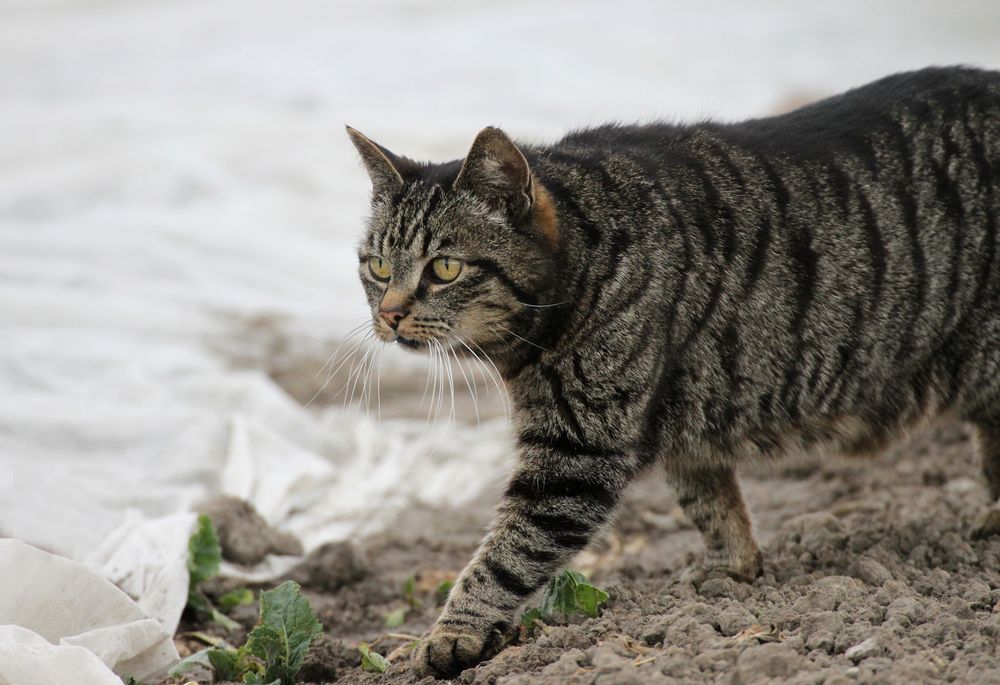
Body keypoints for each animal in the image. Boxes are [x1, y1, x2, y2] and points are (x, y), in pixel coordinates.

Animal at [350, 67, 1000, 676]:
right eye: (377, 266)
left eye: (445, 268)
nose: (389, 314)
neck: (590, 262)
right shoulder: (689, 419)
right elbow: (710, 502)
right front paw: (731, 571)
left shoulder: (576, 453)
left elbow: (507, 553)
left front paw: (450, 634)